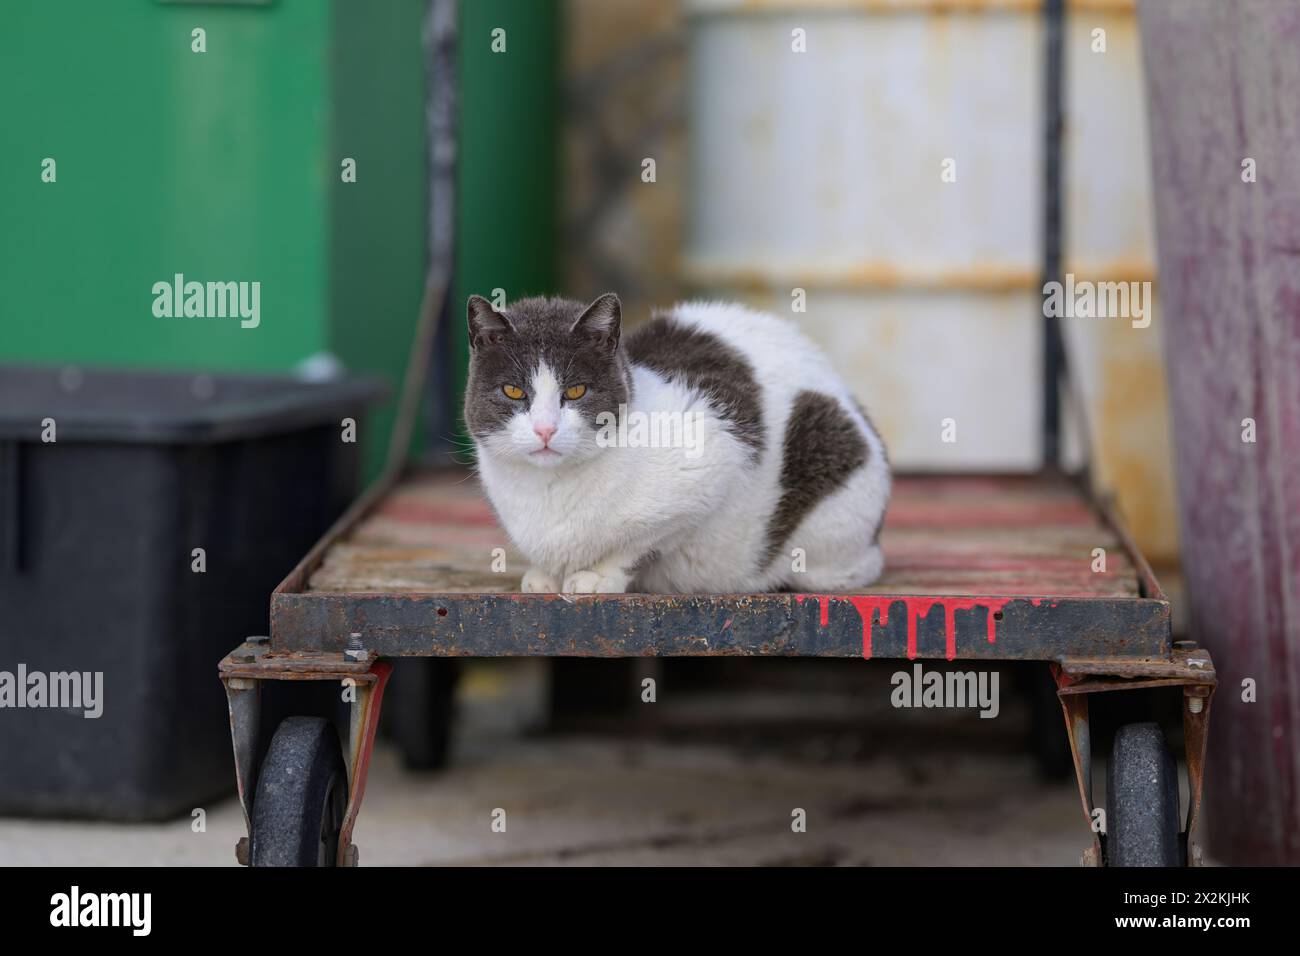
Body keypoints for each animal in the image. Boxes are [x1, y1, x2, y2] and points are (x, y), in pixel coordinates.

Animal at [467, 295, 894, 595]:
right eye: (512, 391)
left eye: (576, 391)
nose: (545, 429)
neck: (548, 490)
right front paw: (545, 574)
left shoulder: (709, 464)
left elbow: (638, 543)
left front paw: (597, 576)